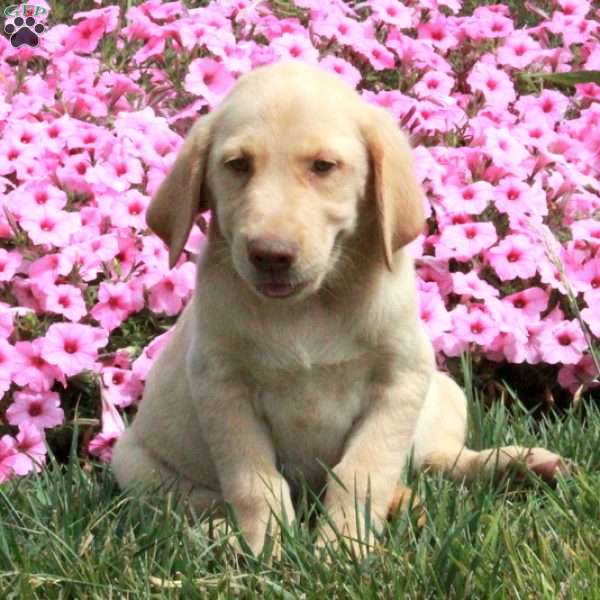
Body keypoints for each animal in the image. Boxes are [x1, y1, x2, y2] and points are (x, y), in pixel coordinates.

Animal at [112, 61, 568, 556]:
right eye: (237, 166)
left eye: (323, 167)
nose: (270, 254)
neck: (309, 309)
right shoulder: (222, 388)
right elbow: (254, 482)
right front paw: (268, 547)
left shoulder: (401, 380)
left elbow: (363, 471)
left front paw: (343, 547)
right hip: (134, 464)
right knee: (193, 506)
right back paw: (219, 535)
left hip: (446, 394)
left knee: (440, 462)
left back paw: (517, 466)